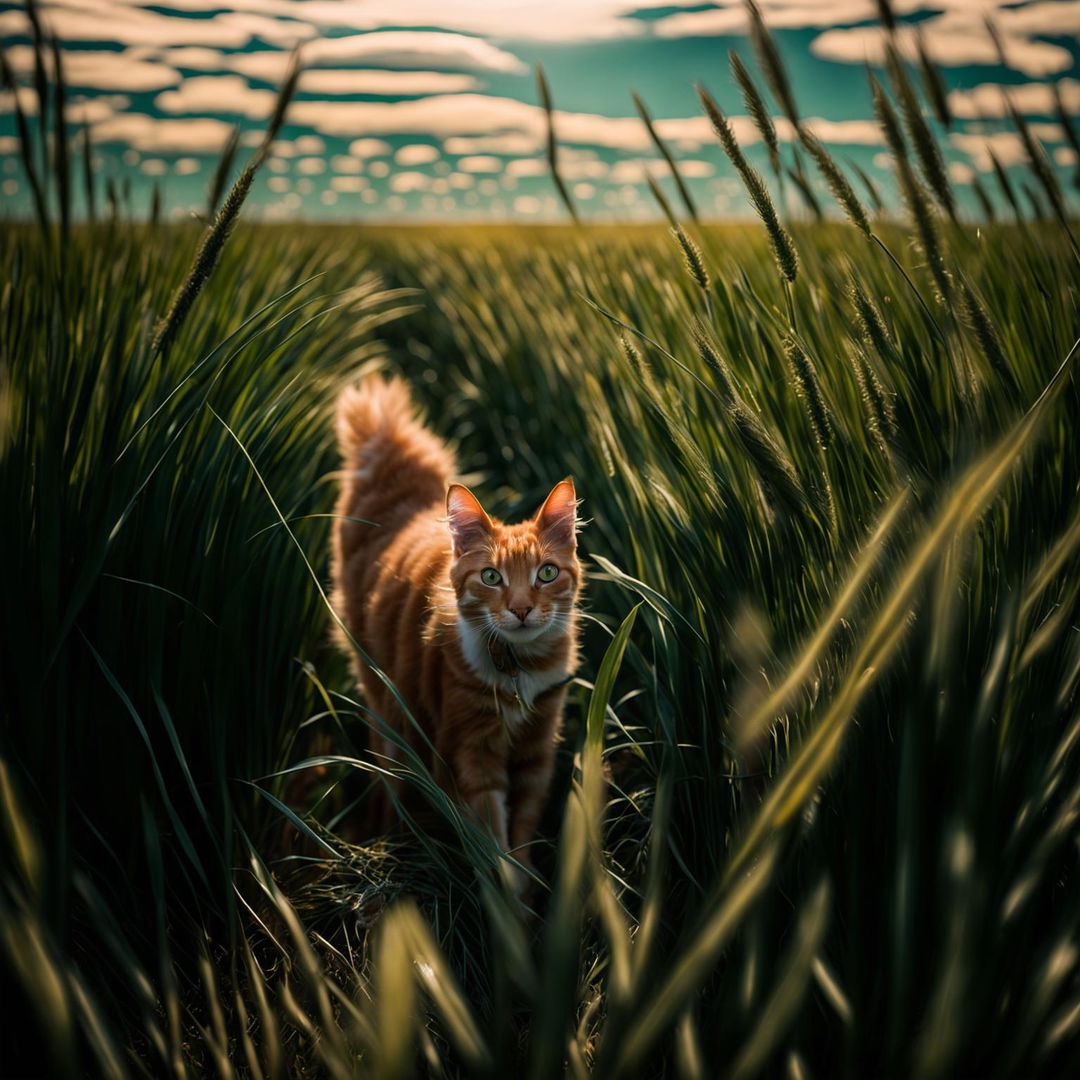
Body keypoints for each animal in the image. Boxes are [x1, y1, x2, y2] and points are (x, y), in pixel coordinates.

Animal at [330, 371, 578, 876]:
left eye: (546, 573)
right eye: (491, 577)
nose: (521, 609)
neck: (519, 670)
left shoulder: (537, 754)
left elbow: (523, 835)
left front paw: (529, 889)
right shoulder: (470, 755)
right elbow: (496, 849)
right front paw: (507, 895)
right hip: (387, 706)